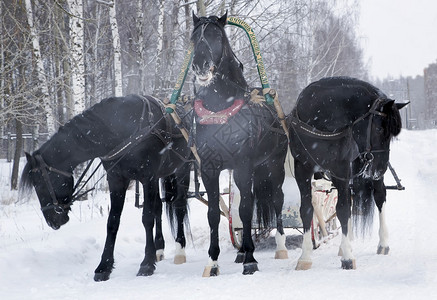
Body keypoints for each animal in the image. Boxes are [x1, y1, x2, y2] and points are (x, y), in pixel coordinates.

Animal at [19, 94, 192, 282]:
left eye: (40, 183)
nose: (51, 221)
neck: (122, 128)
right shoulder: (116, 179)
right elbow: (112, 221)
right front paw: (104, 267)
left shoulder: (148, 178)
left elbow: (147, 218)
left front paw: (146, 263)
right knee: (159, 208)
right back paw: (159, 249)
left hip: (183, 168)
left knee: (179, 206)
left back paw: (180, 250)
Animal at [190, 13, 286, 276]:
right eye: (194, 37)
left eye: (216, 35)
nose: (200, 65)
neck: (220, 109)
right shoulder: (209, 169)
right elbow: (214, 213)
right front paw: (213, 261)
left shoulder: (244, 165)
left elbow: (245, 210)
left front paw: (251, 260)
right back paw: (241, 250)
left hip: (275, 166)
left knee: (277, 199)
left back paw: (280, 247)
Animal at [288, 77, 408, 270]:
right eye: (380, 129)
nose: (380, 169)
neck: (319, 124)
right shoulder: (303, 169)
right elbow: (306, 209)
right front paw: (305, 257)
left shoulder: (341, 169)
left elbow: (343, 209)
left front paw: (347, 257)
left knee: (379, 196)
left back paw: (382, 243)